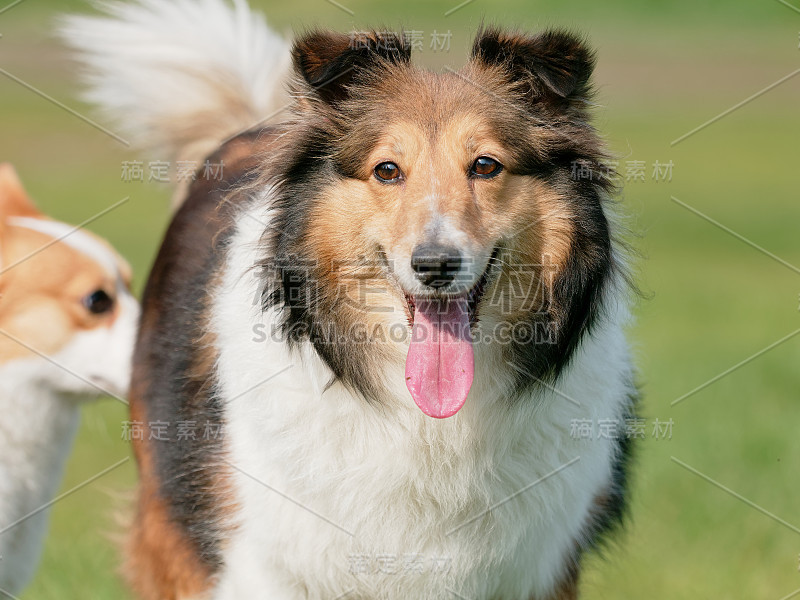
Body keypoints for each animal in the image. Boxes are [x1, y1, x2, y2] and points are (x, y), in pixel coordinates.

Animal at [61, 1, 636, 600]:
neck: (428, 422)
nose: (435, 266)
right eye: (387, 170)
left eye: (485, 165)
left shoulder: (539, 568)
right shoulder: (263, 561)